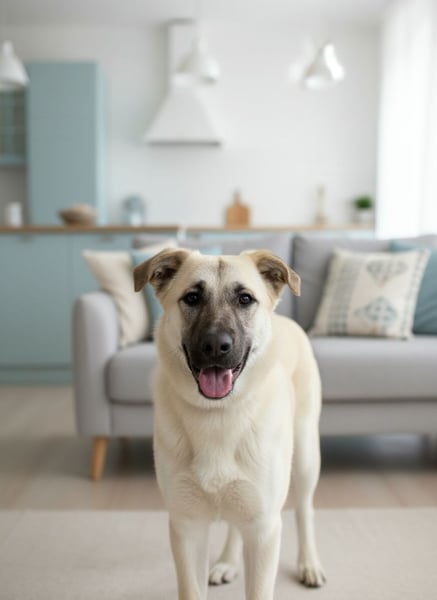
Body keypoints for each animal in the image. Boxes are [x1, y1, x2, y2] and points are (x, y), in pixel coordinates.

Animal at [134, 248, 326, 599]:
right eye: (192, 297)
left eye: (245, 299)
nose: (215, 346)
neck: (218, 414)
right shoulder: (187, 528)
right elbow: (192, 589)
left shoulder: (264, 530)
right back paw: (227, 562)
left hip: (306, 456)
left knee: (305, 509)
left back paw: (309, 564)